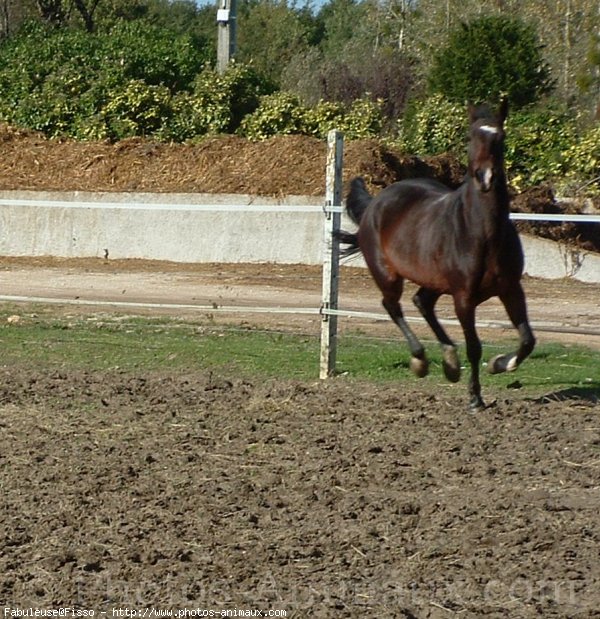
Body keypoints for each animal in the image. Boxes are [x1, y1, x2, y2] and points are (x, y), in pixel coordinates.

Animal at [338, 100, 536, 412]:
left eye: (501, 138)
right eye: (469, 137)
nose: (485, 178)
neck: (482, 233)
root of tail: (376, 203)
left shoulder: (511, 289)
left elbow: (527, 340)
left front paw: (499, 364)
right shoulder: (463, 298)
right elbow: (474, 347)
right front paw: (475, 398)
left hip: (434, 282)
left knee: (421, 302)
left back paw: (449, 363)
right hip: (387, 275)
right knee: (392, 306)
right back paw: (420, 360)